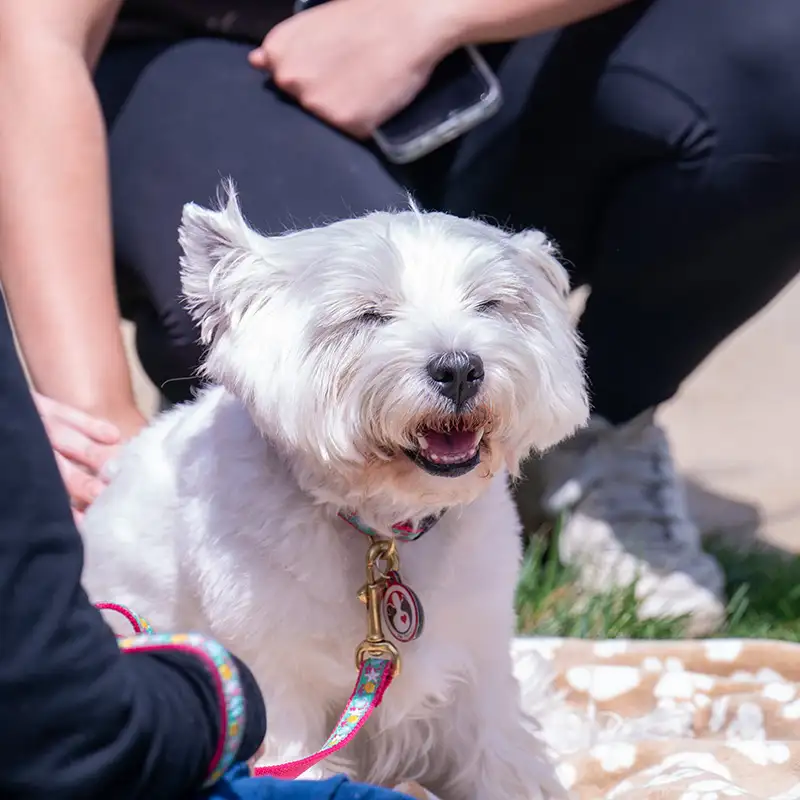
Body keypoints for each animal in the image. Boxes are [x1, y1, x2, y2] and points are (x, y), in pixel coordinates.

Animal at [81, 189, 588, 800]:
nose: (461, 369)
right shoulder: (278, 682)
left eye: (491, 305)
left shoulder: (480, 658)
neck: (383, 525)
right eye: (368, 314)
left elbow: (503, 757)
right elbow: (299, 760)